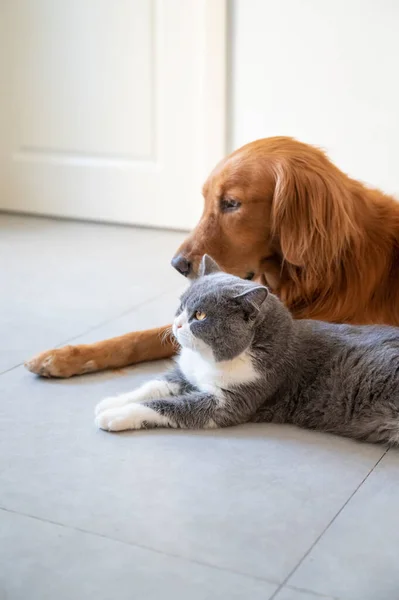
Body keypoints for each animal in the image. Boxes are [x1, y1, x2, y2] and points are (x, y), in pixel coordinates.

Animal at [94, 253, 399, 446]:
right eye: (181, 305)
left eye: (200, 315)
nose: (177, 324)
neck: (209, 360)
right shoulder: (185, 374)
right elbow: (155, 385)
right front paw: (110, 402)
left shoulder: (228, 403)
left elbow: (167, 406)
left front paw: (116, 415)